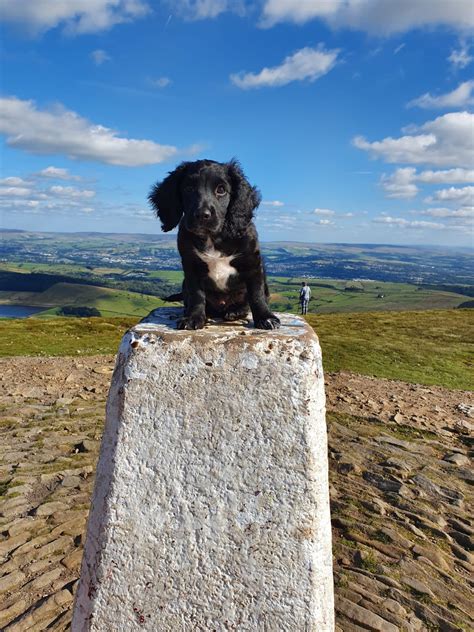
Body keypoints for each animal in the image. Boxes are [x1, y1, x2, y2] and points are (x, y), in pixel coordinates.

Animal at [150, 159, 280, 330]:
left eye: (221, 190)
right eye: (188, 188)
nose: (202, 215)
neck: (213, 237)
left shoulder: (252, 263)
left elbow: (256, 294)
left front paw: (266, 317)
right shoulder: (191, 266)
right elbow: (196, 295)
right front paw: (193, 318)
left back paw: (235, 311)